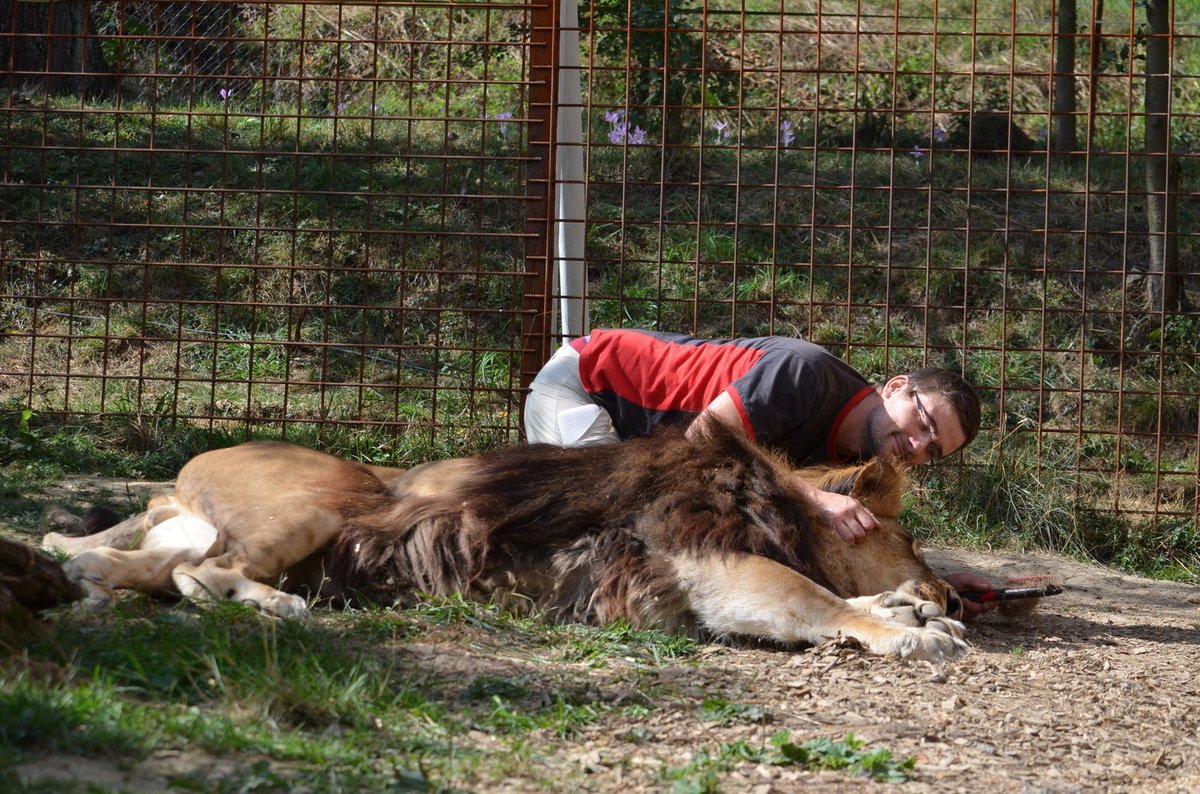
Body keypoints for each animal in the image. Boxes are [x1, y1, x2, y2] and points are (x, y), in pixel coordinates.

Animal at [44, 429, 964, 666]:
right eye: (913, 537)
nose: (954, 592)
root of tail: (184, 469)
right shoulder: (703, 561)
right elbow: (812, 598)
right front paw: (909, 629)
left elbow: (830, 598)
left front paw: (908, 610)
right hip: (324, 506)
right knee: (205, 577)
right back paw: (280, 606)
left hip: (210, 529)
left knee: (128, 565)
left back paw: (87, 585)